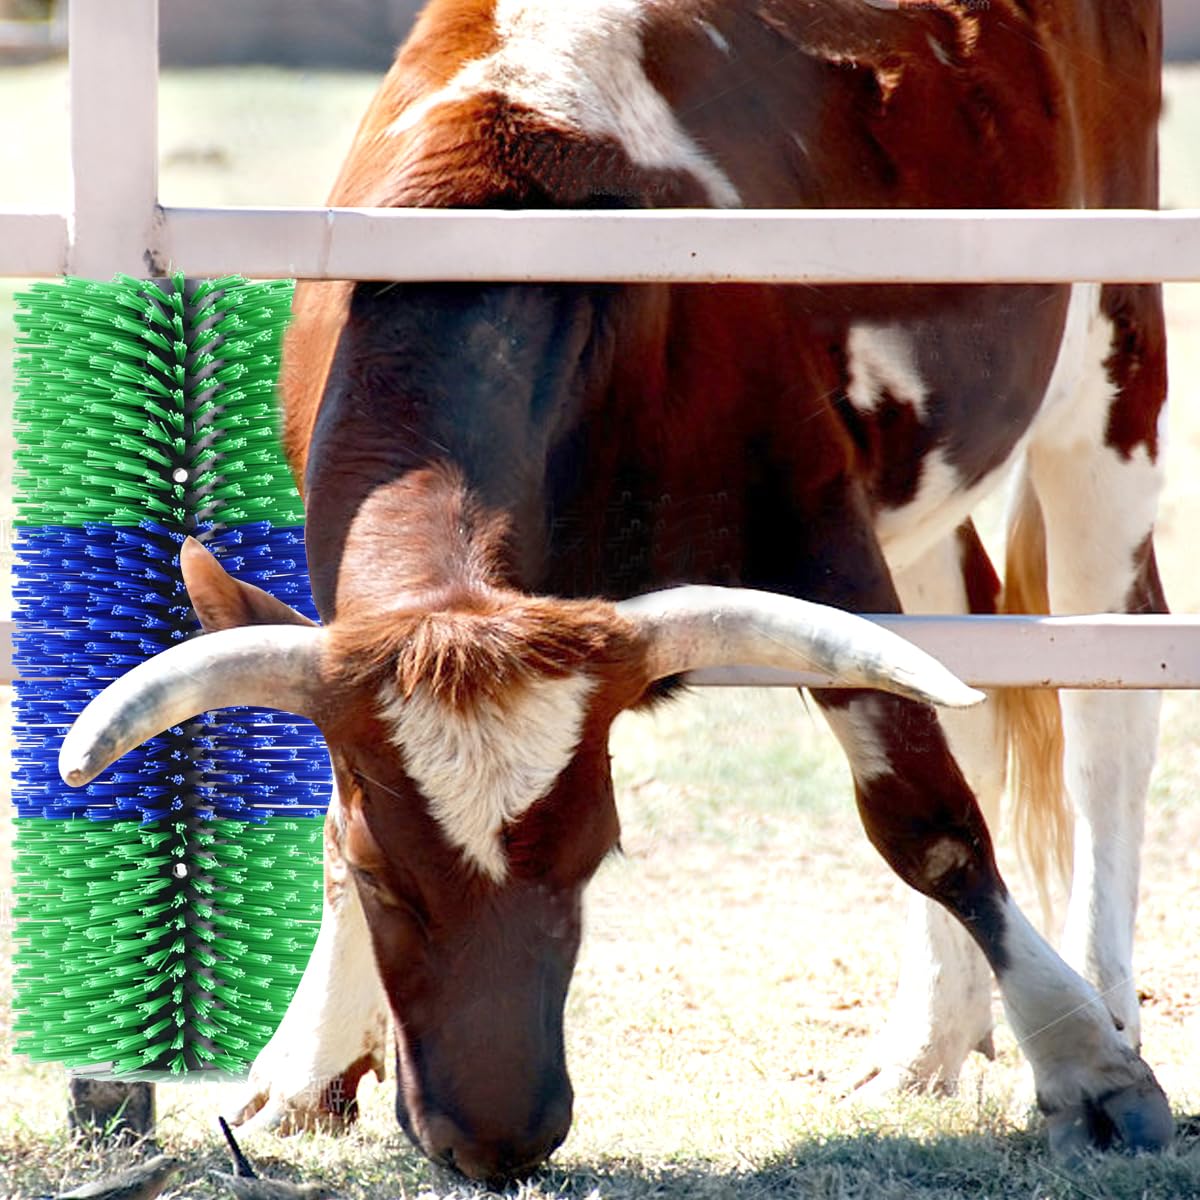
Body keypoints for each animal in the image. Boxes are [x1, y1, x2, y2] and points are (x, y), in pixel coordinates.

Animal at [60, 0, 1172, 1183]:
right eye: (381, 874)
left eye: (595, 854)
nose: (495, 1138)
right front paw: (310, 1068)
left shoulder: (821, 534)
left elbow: (928, 816)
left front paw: (1089, 1068)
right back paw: (925, 1047)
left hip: (1112, 368)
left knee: (1107, 708)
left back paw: (1107, 1004)